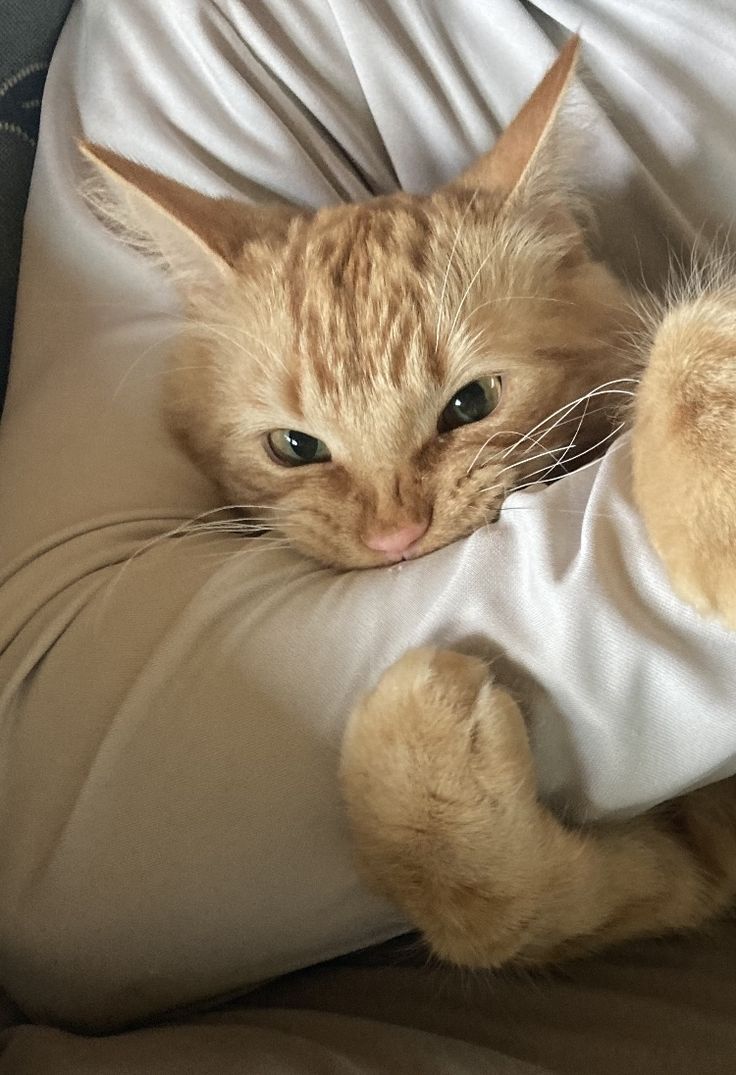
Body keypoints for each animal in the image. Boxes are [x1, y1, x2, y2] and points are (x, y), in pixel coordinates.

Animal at [80, 37, 734, 971]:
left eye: (471, 403)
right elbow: (495, 911)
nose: (397, 532)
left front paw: (715, 512)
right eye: (296, 448)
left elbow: (691, 334)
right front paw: (422, 777)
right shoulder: (697, 855)